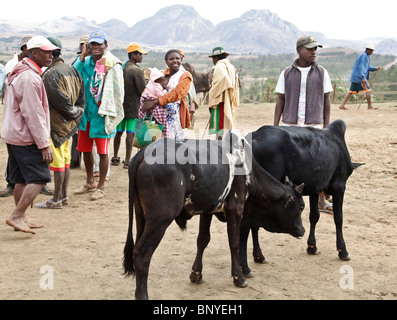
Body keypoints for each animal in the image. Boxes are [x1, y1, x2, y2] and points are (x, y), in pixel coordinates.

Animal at [123, 132, 304, 300]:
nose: (302, 230)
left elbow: (203, 240)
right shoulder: (236, 209)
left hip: (141, 216)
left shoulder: (207, 210)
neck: (247, 168)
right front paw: (239, 277)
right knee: (142, 253)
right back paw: (142, 295)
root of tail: (144, 151)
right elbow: (235, 242)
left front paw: (196, 274)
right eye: (301, 207)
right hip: (160, 220)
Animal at [244, 119, 358, 266]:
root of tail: (254, 136)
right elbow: (338, 218)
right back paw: (258, 256)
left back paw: (258, 256)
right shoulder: (339, 186)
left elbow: (314, 216)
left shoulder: (315, 189)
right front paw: (342, 251)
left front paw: (312, 247)